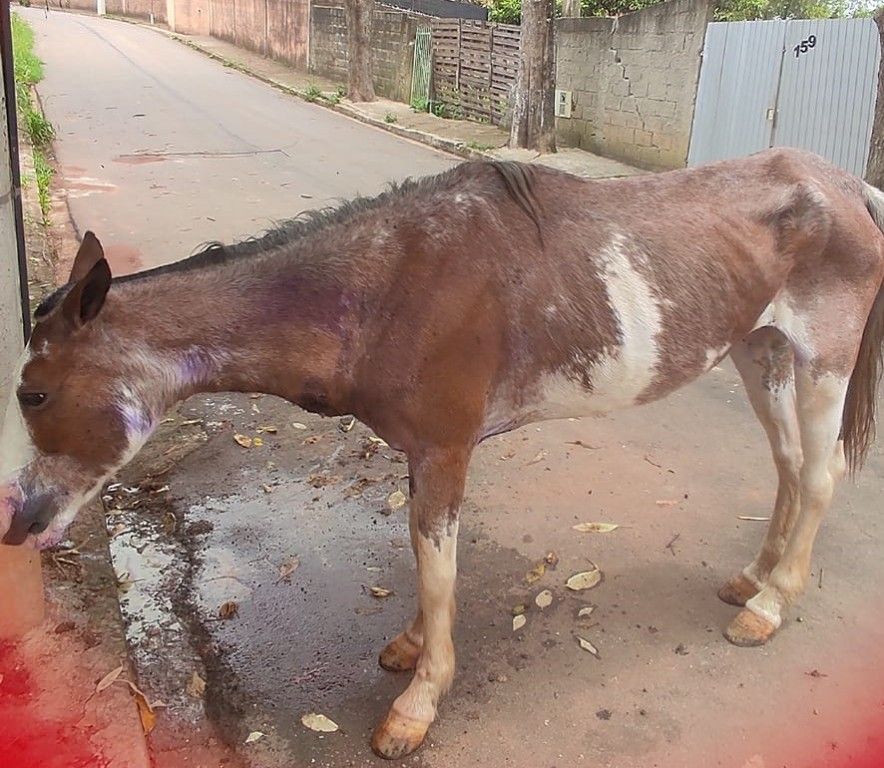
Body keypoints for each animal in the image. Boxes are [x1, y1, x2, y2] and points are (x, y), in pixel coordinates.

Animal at [1, 148, 884, 756]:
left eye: (33, 394)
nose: (17, 523)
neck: (386, 286)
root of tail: (847, 185)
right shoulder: (423, 454)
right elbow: (424, 556)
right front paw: (411, 647)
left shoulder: (447, 450)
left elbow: (436, 568)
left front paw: (419, 702)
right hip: (759, 350)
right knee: (786, 466)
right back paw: (753, 579)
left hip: (823, 359)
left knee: (817, 477)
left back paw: (772, 603)